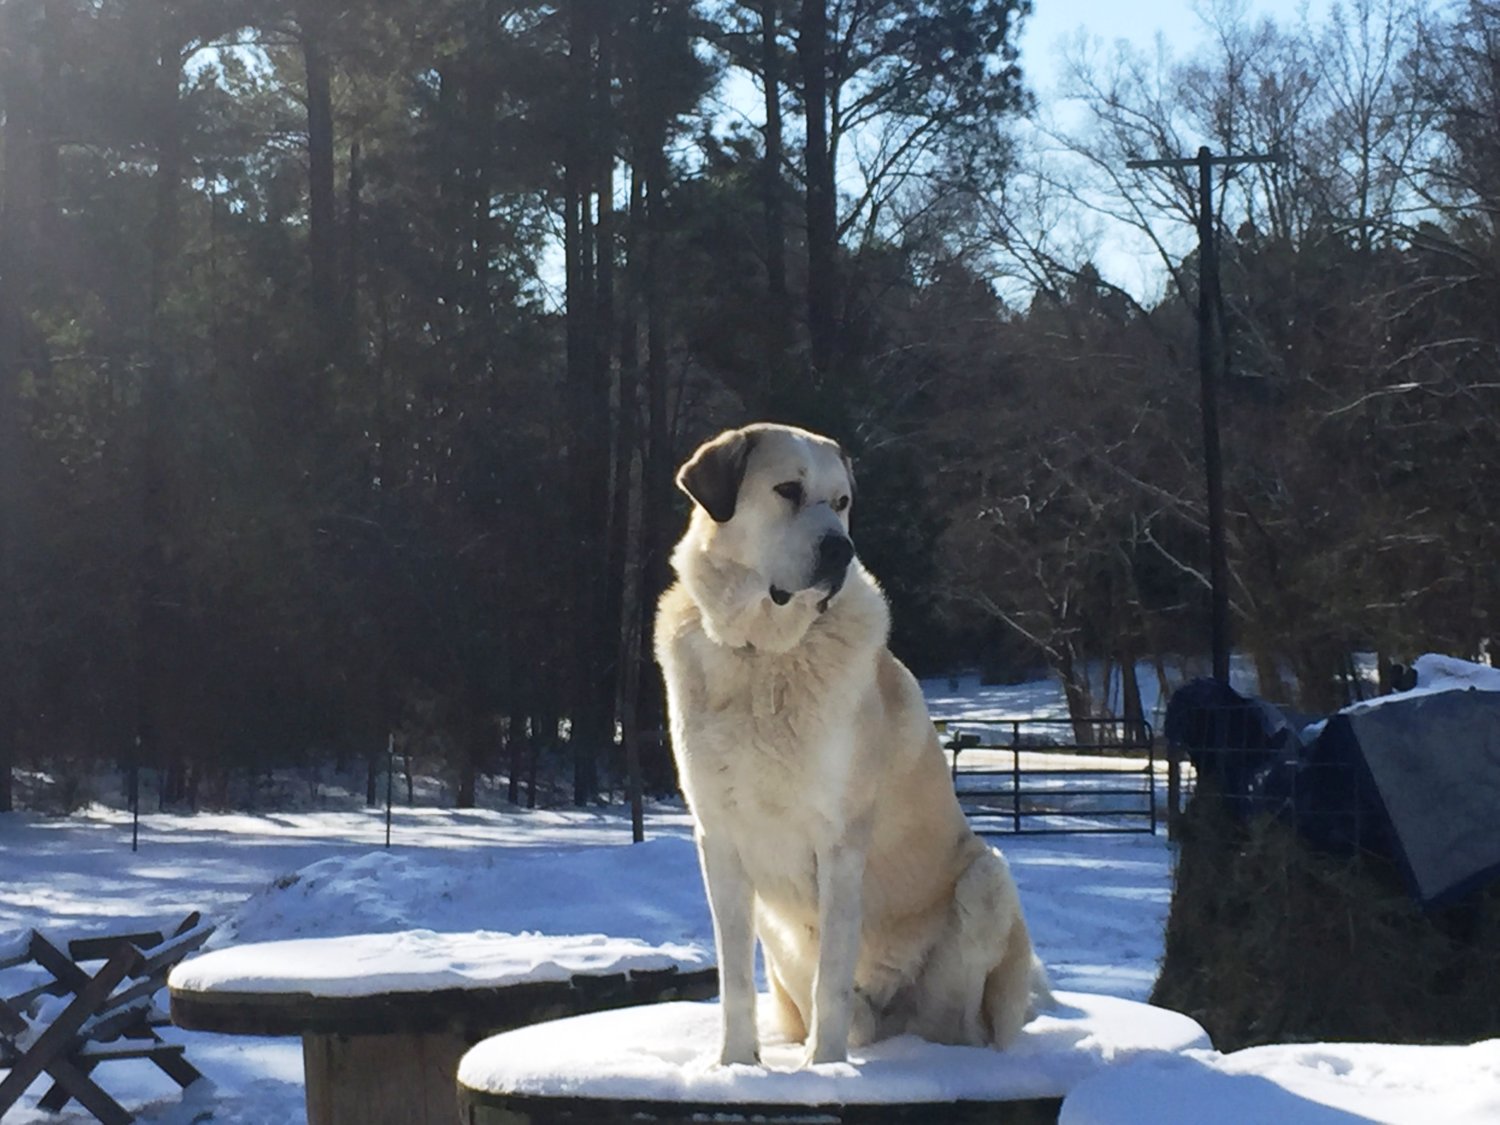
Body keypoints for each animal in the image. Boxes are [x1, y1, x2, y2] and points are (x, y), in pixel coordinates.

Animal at [651, 423, 1050, 1068]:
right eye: (788, 490)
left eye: (841, 502)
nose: (840, 550)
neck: (764, 655)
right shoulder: (720, 840)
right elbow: (734, 978)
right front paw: (735, 1065)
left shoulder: (838, 842)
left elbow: (832, 975)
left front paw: (825, 1068)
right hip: (778, 929)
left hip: (986, 880)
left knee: (958, 1022)